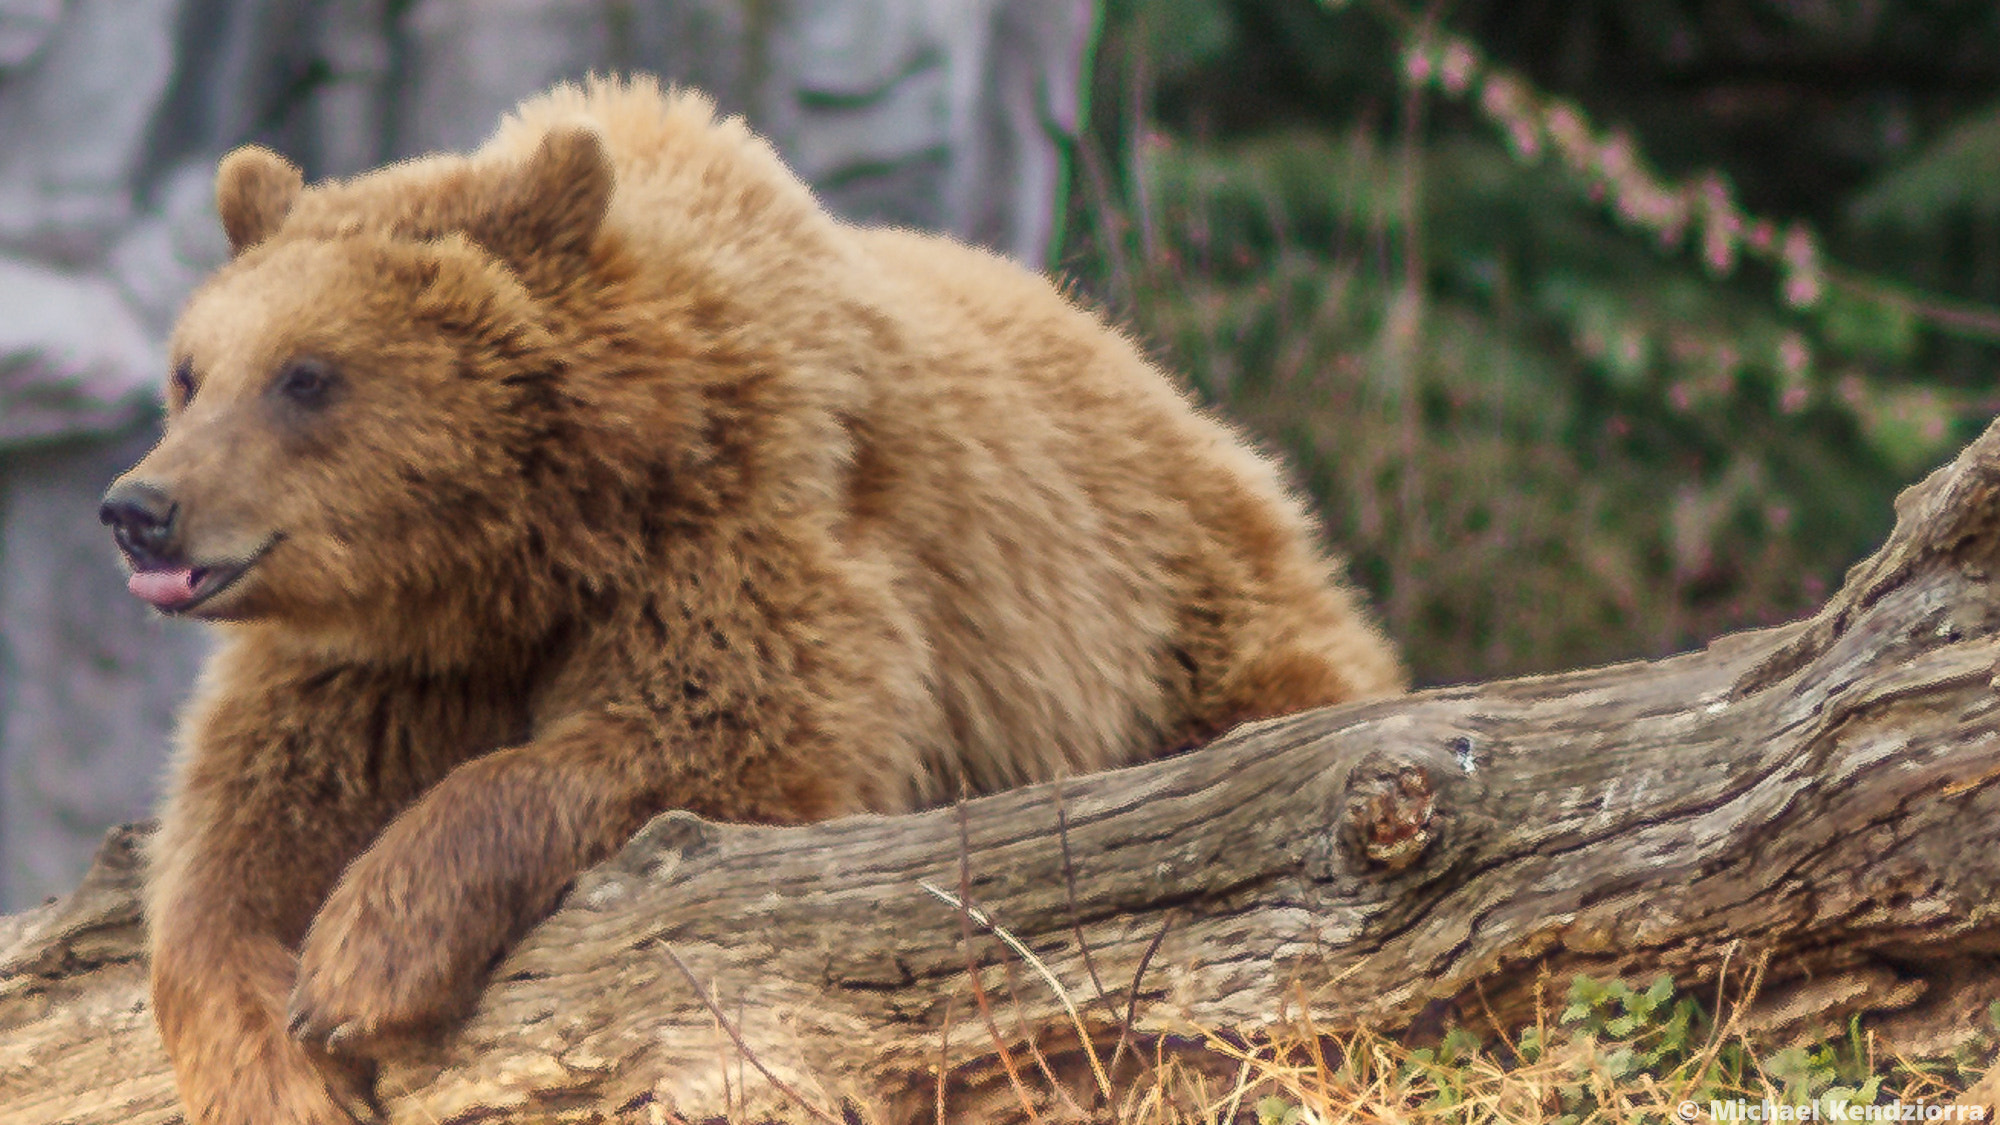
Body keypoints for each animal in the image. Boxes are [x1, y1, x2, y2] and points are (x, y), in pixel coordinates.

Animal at [97, 74, 1408, 1112]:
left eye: (306, 375)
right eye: (190, 372)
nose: (137, 507)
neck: (512, 556)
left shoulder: (744, 527)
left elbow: (715, 741)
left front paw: (362, 962)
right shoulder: (373, 658)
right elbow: (233, 848)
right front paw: (285, 1056)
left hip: (1175, 608)